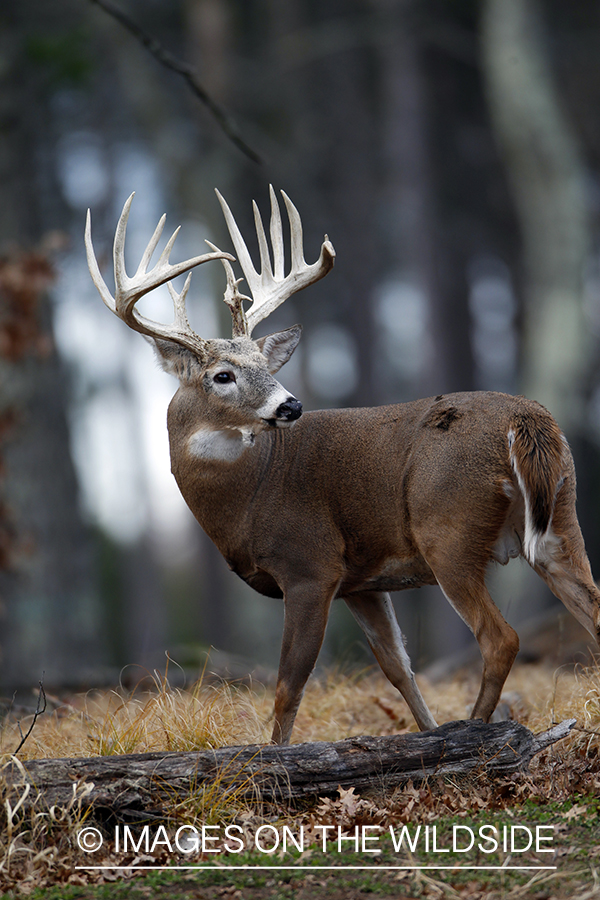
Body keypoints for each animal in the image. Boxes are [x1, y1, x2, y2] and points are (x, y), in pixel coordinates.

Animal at [84, 186, 600, 740]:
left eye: (265, 365)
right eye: (223, 375)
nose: (290, 405)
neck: (247, 497)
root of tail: (526, 417)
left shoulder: (311, 565)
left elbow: (288, 688)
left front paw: (274, 758)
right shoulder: (363, 582)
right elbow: (398, 667)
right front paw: (422, 730)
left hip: (448, 529)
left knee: (501, 637)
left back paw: (472, 731)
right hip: (561, 518)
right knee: (592, 609)